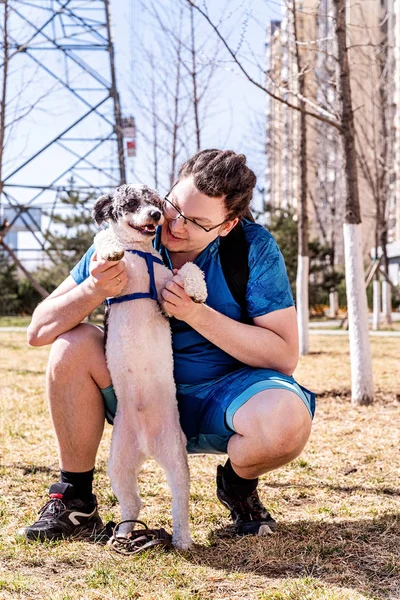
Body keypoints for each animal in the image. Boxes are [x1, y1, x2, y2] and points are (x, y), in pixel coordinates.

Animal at [92, 185, 208, 552]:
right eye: (130, 203)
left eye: (156, 202)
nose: (156, 216)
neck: (140, 254)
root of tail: (145, 443)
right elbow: (103, 239)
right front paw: (111, 248)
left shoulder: (169, 286)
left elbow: (190, 269)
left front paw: (197, 290)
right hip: (117, 466)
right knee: (133, 502)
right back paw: (124, 535)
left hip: (176, 461)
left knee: (179, 503)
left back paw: (182, 539)